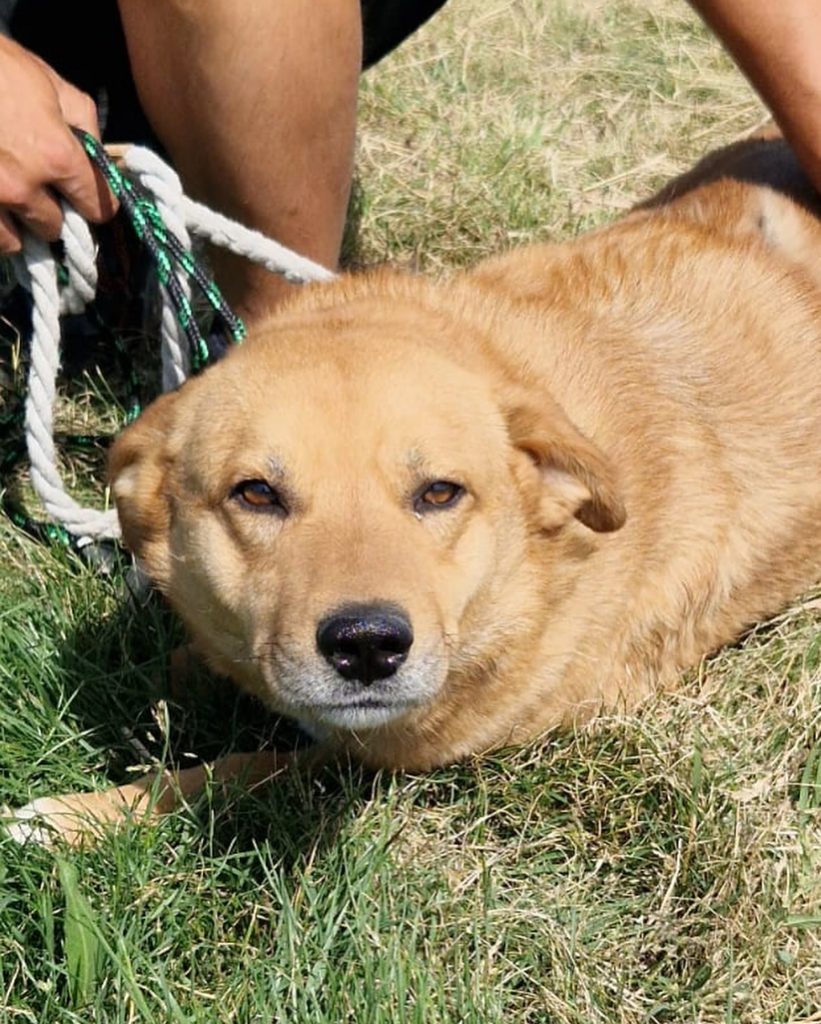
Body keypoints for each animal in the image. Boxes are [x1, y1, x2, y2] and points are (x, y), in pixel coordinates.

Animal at [9, 132, 818, 843]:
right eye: (256, 494)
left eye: (439, 493)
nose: (366, 646)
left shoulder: (383, 757)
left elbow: (243, 770)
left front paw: (79, 816)